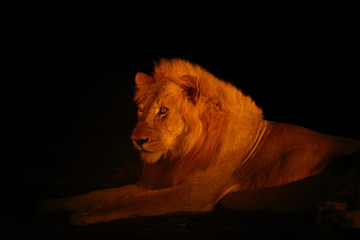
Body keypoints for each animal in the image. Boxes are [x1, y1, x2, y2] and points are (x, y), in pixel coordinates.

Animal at [42, 58, 360, 227]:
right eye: (140, 110)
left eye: (163, 110)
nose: (137, 140)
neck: (178, 153)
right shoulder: (153, 183)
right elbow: (101, 193)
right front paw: (54, 204)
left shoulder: (194, 194)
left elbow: (131, 201)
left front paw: (84, 215)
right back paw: (327, 211)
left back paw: (331, 215)